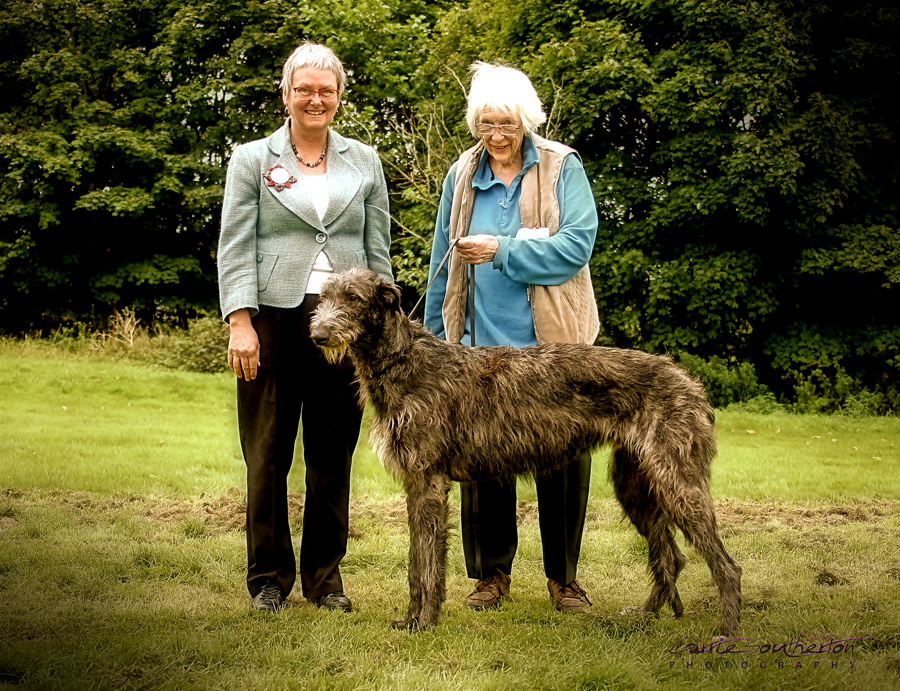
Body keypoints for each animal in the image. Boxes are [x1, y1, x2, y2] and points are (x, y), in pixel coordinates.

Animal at [312, 268, 740, 636]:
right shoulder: (419, 482)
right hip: (635, 483)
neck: (404, 359)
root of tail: (689, 382)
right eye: (325, 296)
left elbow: (426, 562)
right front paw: (413, 619)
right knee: (670, 556)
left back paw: (727, 630)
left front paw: (423, 621)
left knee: (726, 565)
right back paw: (646, 613)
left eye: (353, 297)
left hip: (677, 481)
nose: (318, 334)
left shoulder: (428, 481)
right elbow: (420, 560)